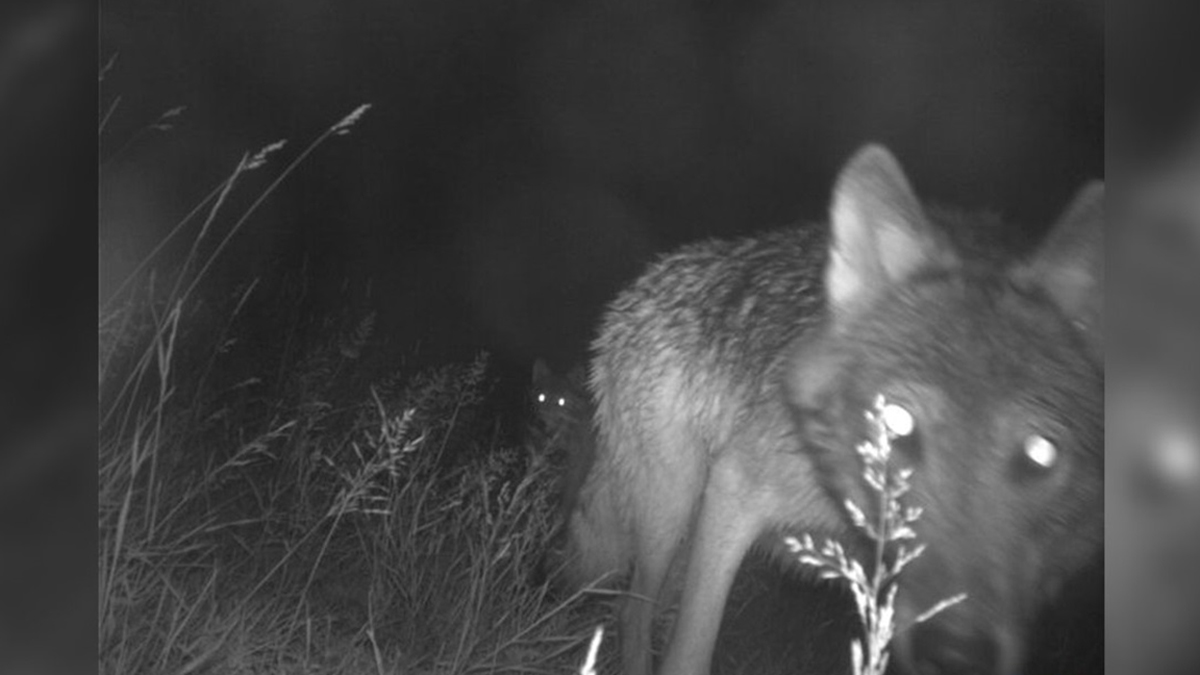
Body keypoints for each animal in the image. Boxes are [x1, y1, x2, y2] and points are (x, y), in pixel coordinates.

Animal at [562, 145, 1103, 675]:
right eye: (896, 423)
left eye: (1041, 453)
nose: (956, 656)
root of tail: (643, 284)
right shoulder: (733, 492)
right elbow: (689, 654)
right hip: (670, 514)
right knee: (631, 612)